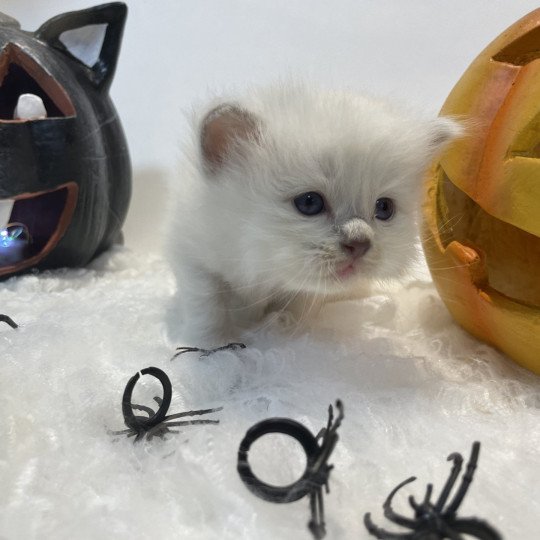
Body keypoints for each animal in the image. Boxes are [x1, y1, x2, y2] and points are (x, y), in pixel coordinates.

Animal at [168, 83, 460, 346]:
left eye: (384, 209)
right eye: (309, 203)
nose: (360, 244)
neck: (259, 266)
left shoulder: (305, 293)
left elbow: (295, 312)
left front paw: (284, 333)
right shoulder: (194, 258)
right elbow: (208, 308)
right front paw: (213, 347)